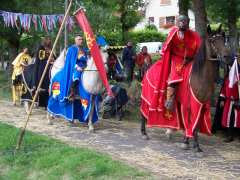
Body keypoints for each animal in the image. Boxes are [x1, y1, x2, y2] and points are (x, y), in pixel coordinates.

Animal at [141, 24, 231, 152]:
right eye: (212, 41)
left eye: (223, 40)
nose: (227, 57)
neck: (200, 76)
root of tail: (149, 67)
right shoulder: (189, 103)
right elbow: (190, 122)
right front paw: (188, 142)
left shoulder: (202, 104)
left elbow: (196, 124)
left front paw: (194, 144)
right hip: (147, 97)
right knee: (143, 112)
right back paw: (144, 133)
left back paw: (169, 131)